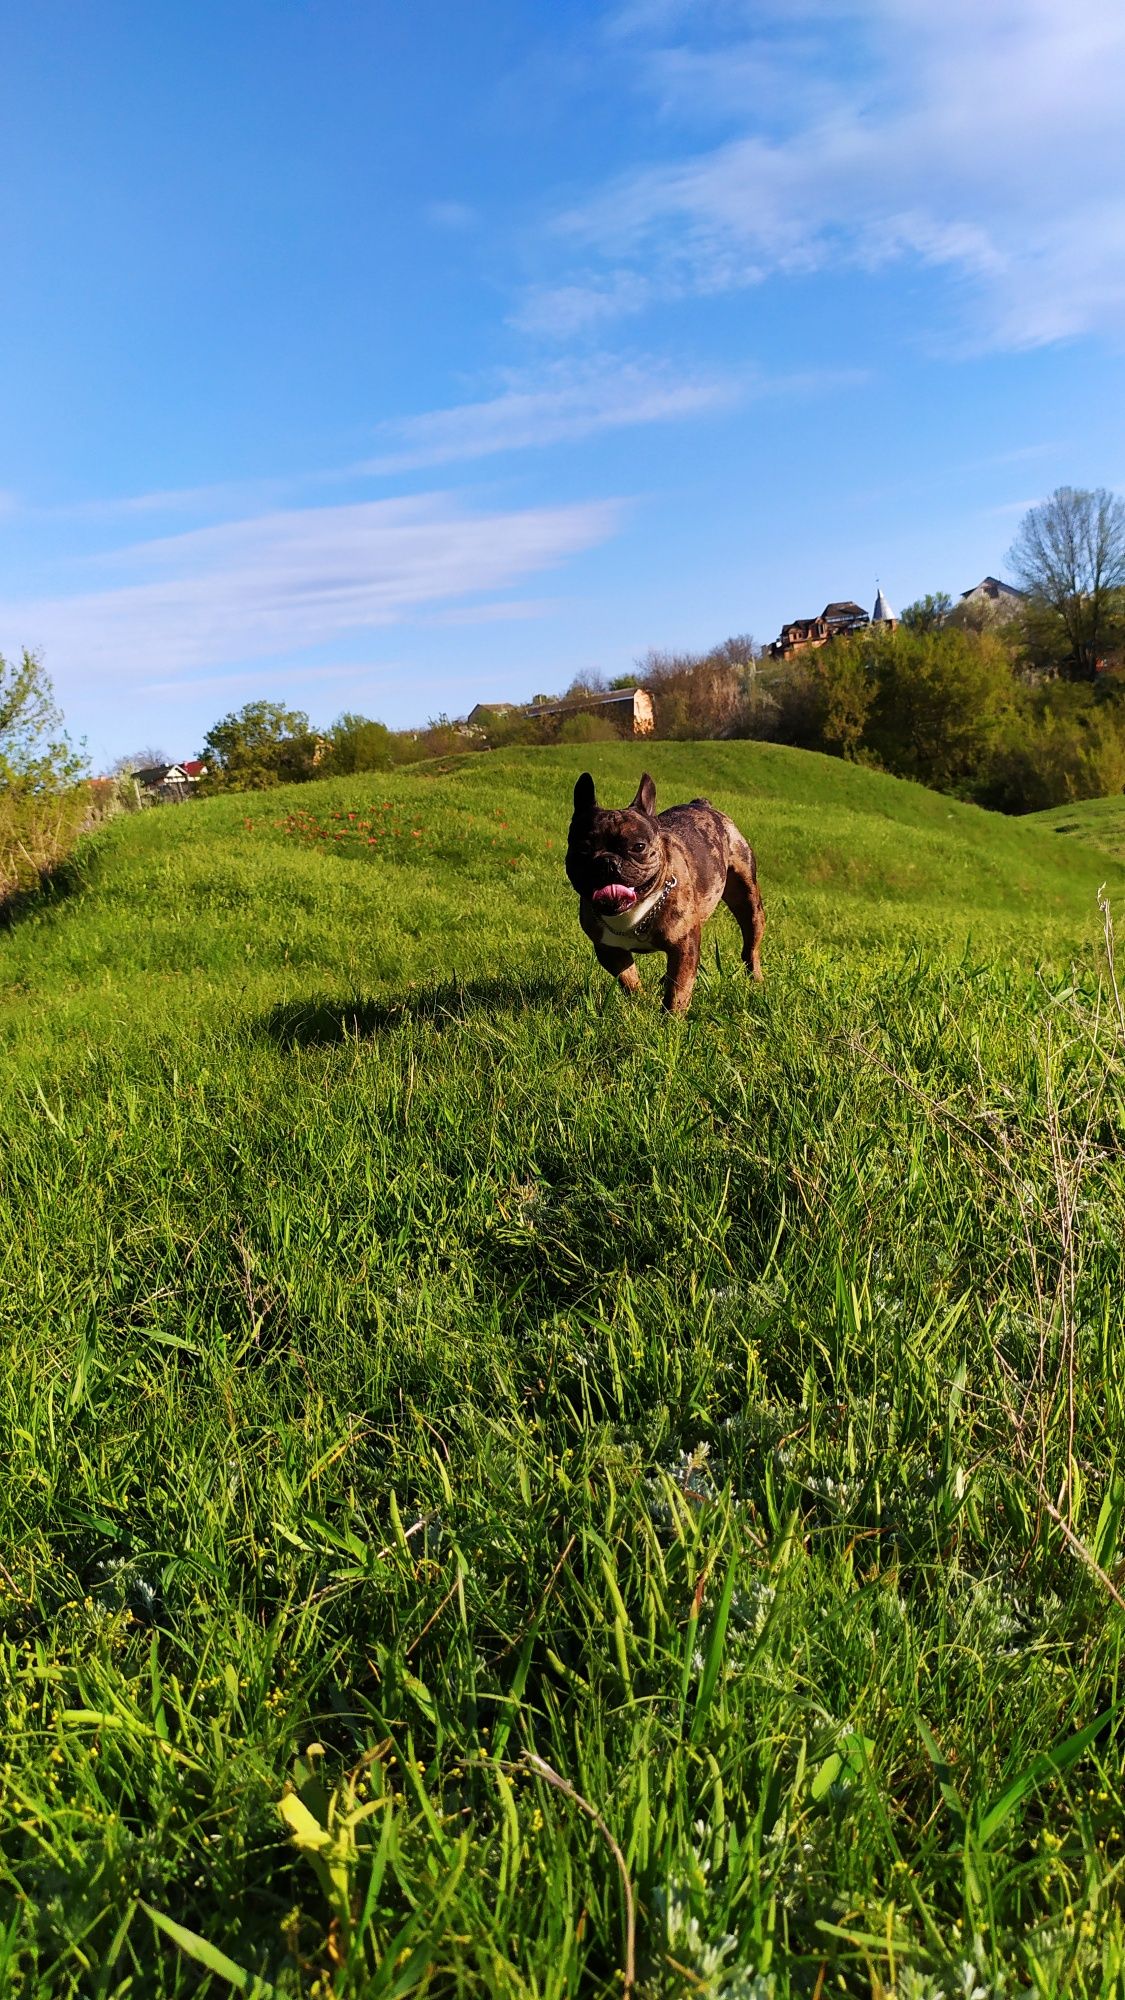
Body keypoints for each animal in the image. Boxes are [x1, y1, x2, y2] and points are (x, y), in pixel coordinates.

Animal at [560, 768, 760, 1016]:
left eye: (638, 846)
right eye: (583, 848)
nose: (607, 862)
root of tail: (702, 804)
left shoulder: (684, 945)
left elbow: (679, 988)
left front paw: (671, 1018)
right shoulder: (608, 949)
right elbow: (628, 977)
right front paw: (640, 1000)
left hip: (747, 898)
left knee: (750, 945)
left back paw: (756, 979)